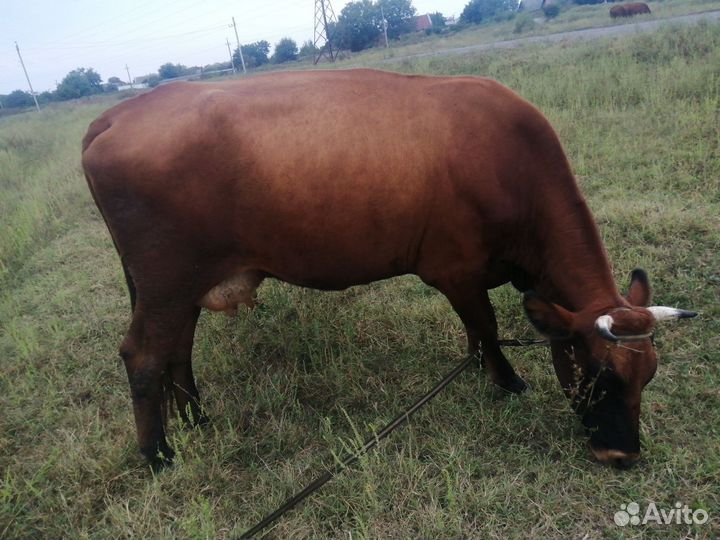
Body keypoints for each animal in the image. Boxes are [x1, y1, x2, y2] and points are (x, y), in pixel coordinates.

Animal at [82, 69, 695, 471]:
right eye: (602, 378)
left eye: (649, 375)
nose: (622, 455)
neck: (511, 165)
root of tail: (116, 114)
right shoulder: (456, 270)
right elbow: (487, 326)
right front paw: (506, 380)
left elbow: (477, 331)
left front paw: (479, 366)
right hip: (166, 281)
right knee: (143, 355)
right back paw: (157, 454)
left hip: (181, 285)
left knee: (177, 349)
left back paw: (194, 419)